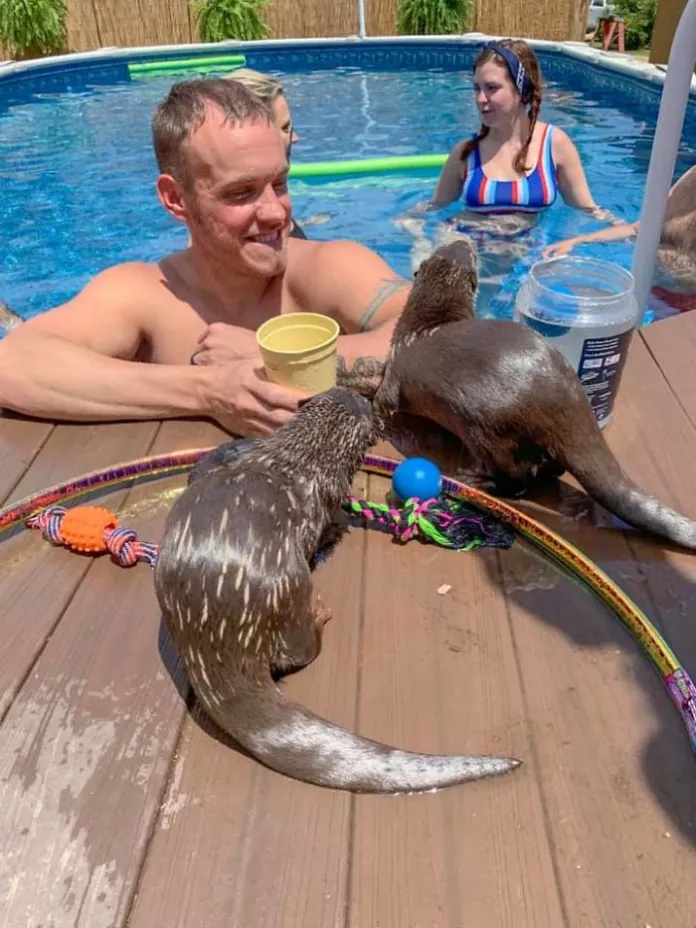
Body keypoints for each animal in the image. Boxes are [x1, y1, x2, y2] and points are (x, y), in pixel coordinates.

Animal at [154, 388, 520, 792]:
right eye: (371, 406)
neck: (297, 457)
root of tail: (217, 638)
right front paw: (334, 531)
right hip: (291, 588)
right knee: (302, 649)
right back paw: (320, 613)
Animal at [376, 236, 696, 552]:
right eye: (450, 249)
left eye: (471, 254)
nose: (463, 240)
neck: (424, 324)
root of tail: (566, 398)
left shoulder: (396, 367)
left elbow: (384, 400)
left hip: (488, 429)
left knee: (517, 478)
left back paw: (475, 479)